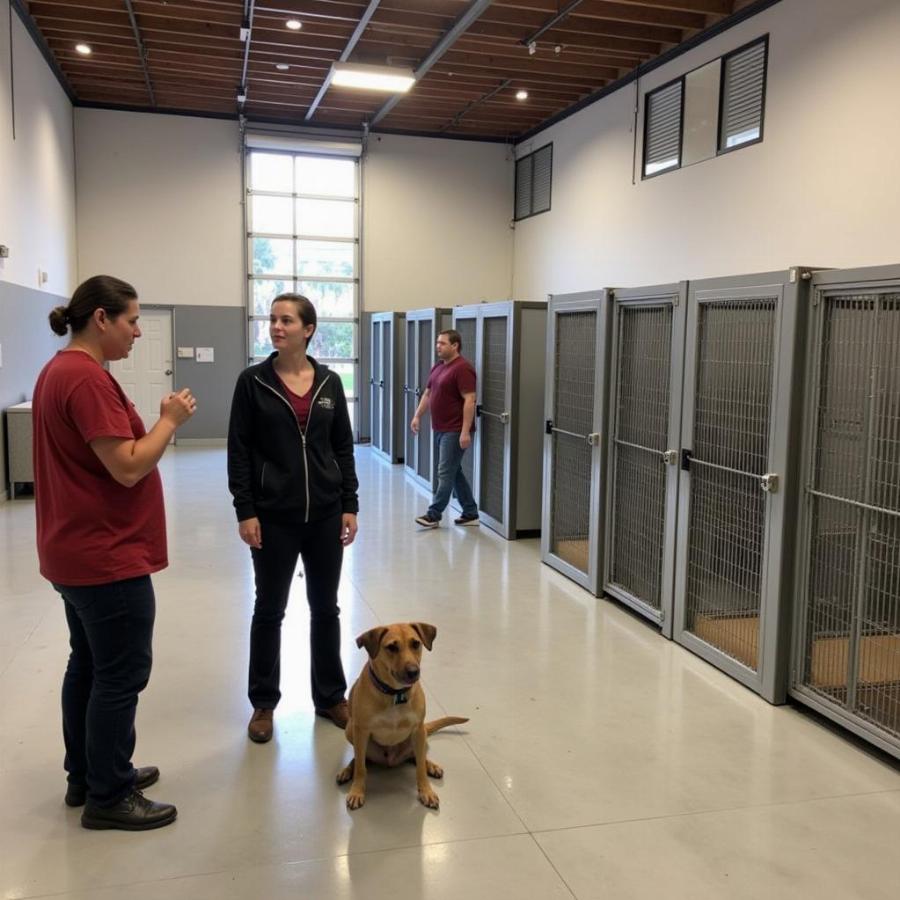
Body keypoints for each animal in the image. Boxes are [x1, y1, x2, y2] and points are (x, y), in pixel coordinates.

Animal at [336, 624, 468, 808]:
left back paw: (431, 766)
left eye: (416, 644)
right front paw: (357, 791)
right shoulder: (361, 731)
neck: (395, 694)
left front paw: (426, 790)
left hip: (421, 735)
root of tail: (391, 760)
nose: (413, 672)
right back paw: (347, 771)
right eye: (391, 647)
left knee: (418, 757)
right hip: (350, 730)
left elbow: (420, 769)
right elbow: (361, 768)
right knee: (358, 758)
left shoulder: (418, 729)